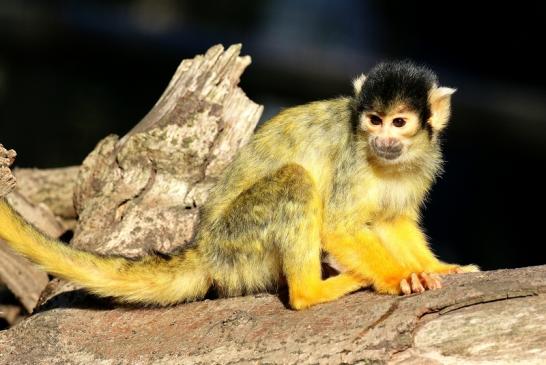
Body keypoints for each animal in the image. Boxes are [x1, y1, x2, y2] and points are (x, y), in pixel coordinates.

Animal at [0, 61, 476, 308]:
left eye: (399, 123)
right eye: (373, 120)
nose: (383, 139)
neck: (386, 162)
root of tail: (205, 248)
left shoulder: (421, 164)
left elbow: (393, 221)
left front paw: (436, 268)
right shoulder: (354, 160)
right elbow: (340, 226)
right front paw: (401, 278)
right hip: (238, 241)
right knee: (295, 182)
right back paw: (311, 292)